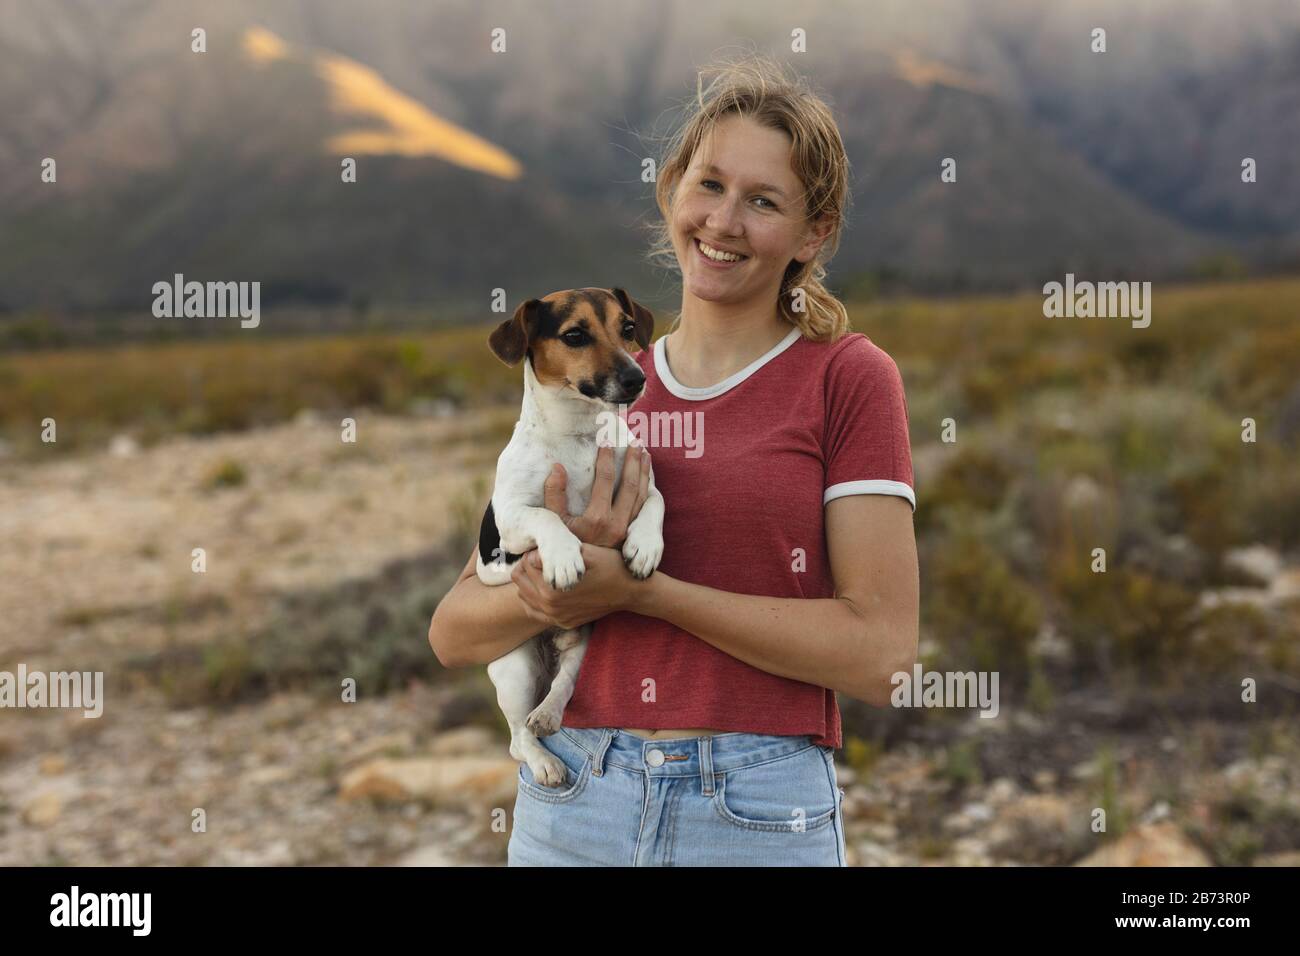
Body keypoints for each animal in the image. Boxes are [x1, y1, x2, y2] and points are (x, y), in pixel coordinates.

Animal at [475, 287, 665, 790]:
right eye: (575, 335)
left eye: (626, 328)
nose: (636, 378)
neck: (579, 435)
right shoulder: (510, 521)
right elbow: (546, 516)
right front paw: (563, 556)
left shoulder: (643, 484)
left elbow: (656, 504)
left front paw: (644, 545)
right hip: (515, 667)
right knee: (517, 738)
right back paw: (544, 759)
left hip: (583, 645)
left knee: (562, 685)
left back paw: (550, 711)